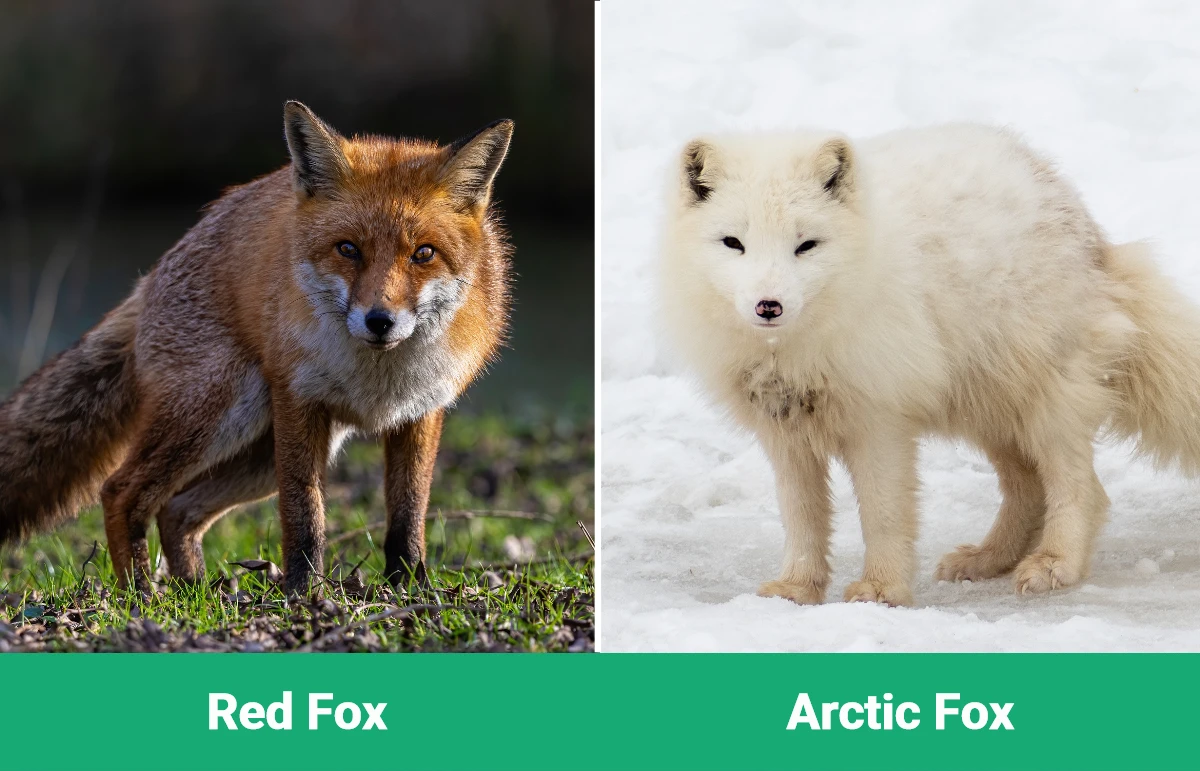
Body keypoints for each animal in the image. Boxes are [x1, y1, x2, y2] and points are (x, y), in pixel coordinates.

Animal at [0, 101, 514, 595]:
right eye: (348, 249)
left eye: (423, 253)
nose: (379, 321)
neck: (377, 379)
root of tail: (150, 279)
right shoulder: (299, 401)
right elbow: (304, 513)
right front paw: (304, 592)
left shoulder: (421, 412)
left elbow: (408, 515)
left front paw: (410, 586)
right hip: (219, 415)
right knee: (121, 491)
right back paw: (140, 594)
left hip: (259, 453)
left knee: (177, 509)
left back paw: (195, 590)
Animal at [660, 123, 1200, 607]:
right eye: (734, 243)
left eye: (806, 245)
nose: (768, 305)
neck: (788, 350)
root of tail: (1077, 213)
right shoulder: (784, 431)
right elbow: (801, 517)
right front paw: (796, 589)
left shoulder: (879, 420)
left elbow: (882, 514)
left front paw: (881, 590)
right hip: (987, 406)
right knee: (1027, 489)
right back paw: (988, 559)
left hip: (1040, 399)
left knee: (1083, 488)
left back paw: (1055, 565)